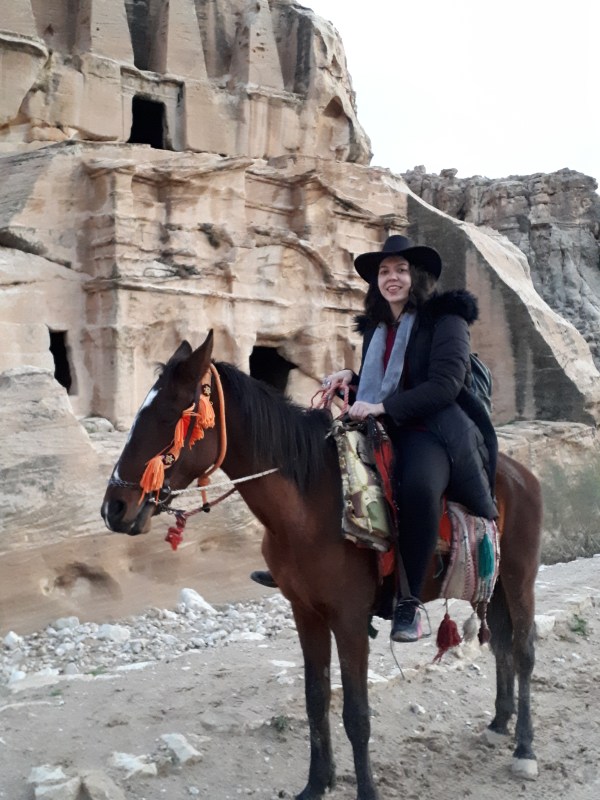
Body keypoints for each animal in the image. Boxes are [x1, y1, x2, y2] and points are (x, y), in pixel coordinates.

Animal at [101, 331, 542, 800]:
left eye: (171, 413)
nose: (114, 508)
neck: (310, 505)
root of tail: (521, 474)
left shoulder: (349, 618)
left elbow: (356, 713)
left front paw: (365, 791)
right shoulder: (306, 612)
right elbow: (316, 699)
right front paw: (317, 782)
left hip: (519, 578)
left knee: (523, 651)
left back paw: (524, 750)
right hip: (492, 585)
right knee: (501, 646)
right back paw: (499, 723)